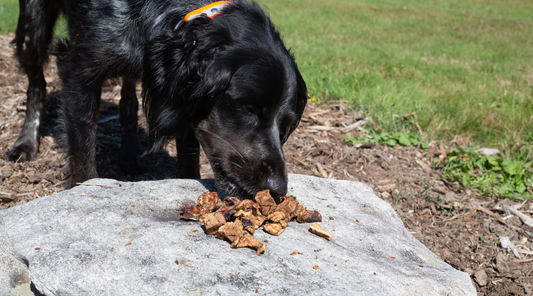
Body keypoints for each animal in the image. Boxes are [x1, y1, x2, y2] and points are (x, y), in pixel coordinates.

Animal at [7, 0, 308, 200]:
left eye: (285, 124)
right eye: (249, 109)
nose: (278, 189)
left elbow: (189, 158)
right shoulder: (79, 74)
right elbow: (83, 160)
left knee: (128, 101)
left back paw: (129, 156)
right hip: (32, 29)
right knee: (37, 86)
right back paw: (26, 144)